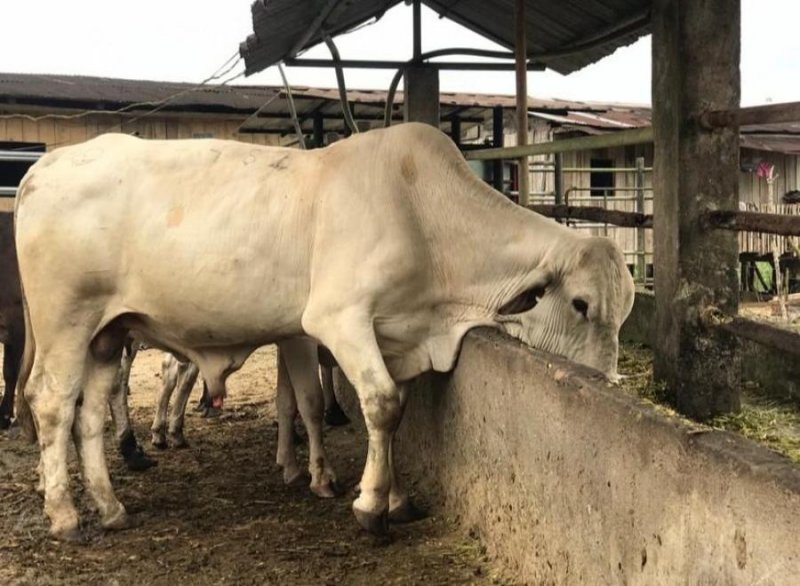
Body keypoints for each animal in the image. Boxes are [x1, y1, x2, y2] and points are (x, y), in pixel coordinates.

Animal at [12, 123, 636, 540]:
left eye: (625, 309)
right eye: (581, 304)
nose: (607, 380)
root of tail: (44, 168)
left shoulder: (391, 336)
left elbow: (389, 414)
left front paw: (393, 495)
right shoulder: (335, 320)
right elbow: (378, 405)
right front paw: (368, 505)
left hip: (108, 334)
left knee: (90, 413)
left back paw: (111, 506)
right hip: (66, 322)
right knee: (51, 403)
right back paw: (65, 515)